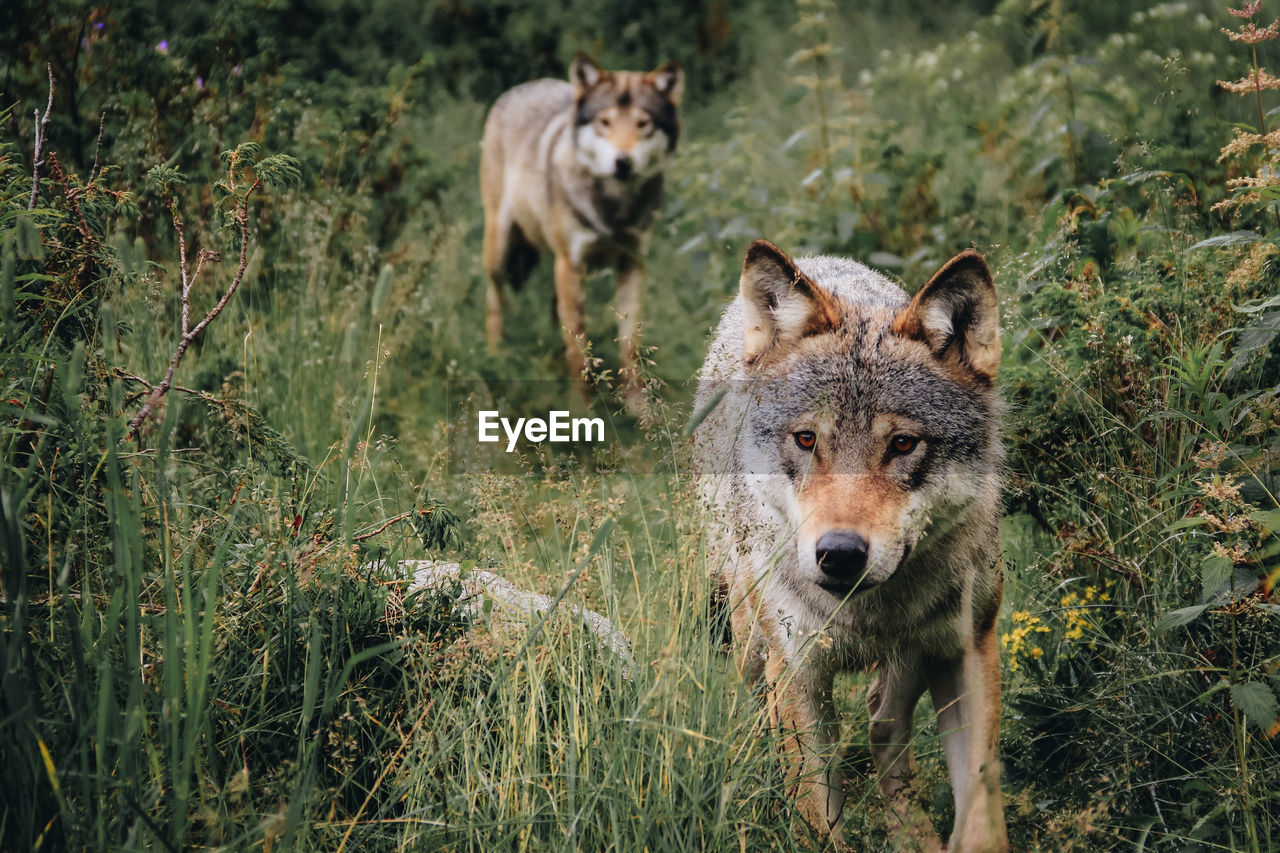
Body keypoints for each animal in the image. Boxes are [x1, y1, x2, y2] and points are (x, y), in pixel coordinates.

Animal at [481, 53, 680, 404]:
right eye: (605, 122)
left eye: (643, 123)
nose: (623, 162)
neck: (614, 210)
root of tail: (524, 86)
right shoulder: (572, 265)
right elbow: (579, 351)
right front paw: (581, 408)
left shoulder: (633, 263)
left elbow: (630, 345)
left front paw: (638, 406)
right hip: (501, 253)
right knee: (495, 301)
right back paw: (496, 359)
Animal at [696, 235, 1013, 845]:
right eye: (806, 439)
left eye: (903, 444)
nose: (839, 555)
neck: (868, 614)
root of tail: (816, 259)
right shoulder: (798, 676)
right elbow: (819, 821)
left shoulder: (968, 649)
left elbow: (982, 814)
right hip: (751, 641)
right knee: (758, 711)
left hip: (910, 660)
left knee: (883, 726)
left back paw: (914, 834)